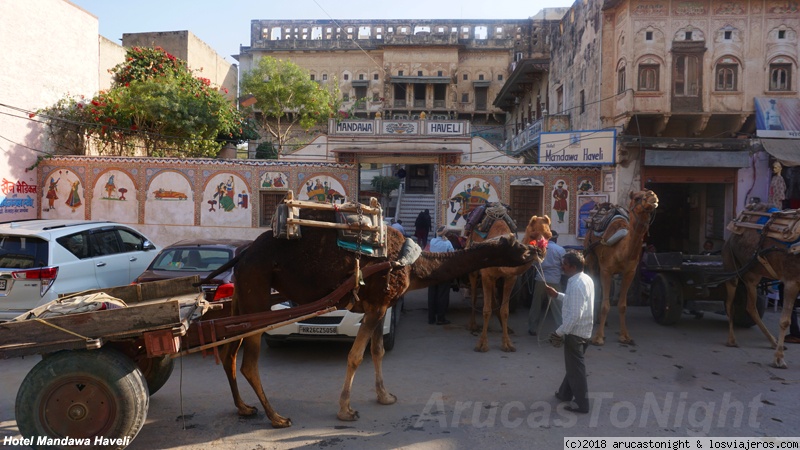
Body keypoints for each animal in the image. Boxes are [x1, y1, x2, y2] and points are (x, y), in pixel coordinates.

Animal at [203, 206, 540, 428]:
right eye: (514, 244)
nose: (534, 251)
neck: (410, 261)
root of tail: (244, 255)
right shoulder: (377, 304)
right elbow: (355, 356)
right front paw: (345, 410)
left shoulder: (379, 305)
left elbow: (377, 351)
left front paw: (385, 396)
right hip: (257, 290)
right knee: (248, 362)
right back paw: (276, 416)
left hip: (243, 299)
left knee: (229, 353)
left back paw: (244, 408)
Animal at [468, 213, 552, 354]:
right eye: (533, 234)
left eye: (549, 235)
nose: (541, 252)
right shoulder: (486, 275)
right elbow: (486, 310)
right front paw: (482, 344)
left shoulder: (510, 278)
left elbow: (505, 311)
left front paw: (507, 344)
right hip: (474, 270)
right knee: (473, 295)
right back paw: (473, 326)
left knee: (493, 300)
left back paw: (506, 328)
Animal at [580, 189, 656, 344]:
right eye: (637, 197)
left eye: (651, 193)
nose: (653, 196)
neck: (622, 249)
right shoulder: (606, 270)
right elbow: (605, 305)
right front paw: (598, 337)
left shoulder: (629, 272)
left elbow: (622, 305)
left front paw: (625, 336)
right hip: (591, 259)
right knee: (595, 285)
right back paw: (594, 319)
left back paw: (601, 320)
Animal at [720, 202, 796, 368]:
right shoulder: (791, 280)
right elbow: (785, 320)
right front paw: (779, 359)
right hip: (732, 268)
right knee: (730, 304)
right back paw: (732, 340)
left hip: (753, 275)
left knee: (749, 306)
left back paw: (773, 341)